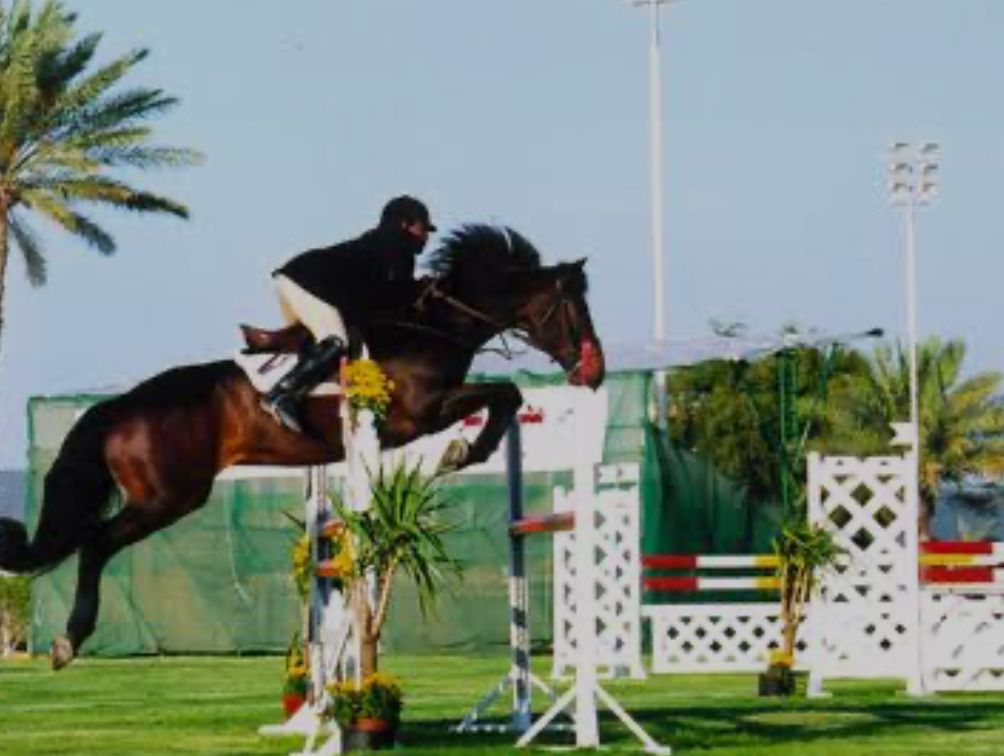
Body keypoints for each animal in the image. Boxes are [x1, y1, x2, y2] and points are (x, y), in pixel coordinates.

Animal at [0, 222, 602, 666]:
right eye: (574, 307)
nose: (594, 373)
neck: (432, 326)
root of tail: (119, 409)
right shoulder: (420, 414)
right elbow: (504, 392)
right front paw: (465, 452)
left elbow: (505, 394)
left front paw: (467, 450)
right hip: (167, 497)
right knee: (97, 543)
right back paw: (68, 641)